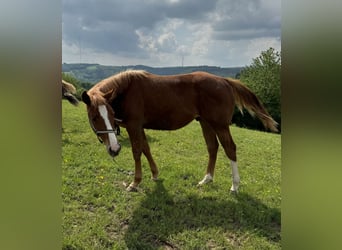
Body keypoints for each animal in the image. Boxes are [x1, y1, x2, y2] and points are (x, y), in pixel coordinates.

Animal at [81, 70, 278, 191]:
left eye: (111, 114)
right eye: (95, 117)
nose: (114, 149)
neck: (127, 90)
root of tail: (224, 81)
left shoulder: (134, 125)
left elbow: (137, 151)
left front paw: (135, 182)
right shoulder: (140, 127)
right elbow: (146, 149)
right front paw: (155, 174)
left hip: (220, 125)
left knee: (230, 148)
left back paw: (235, 185)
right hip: (206, 123)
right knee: (212, 147)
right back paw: (207, 178)